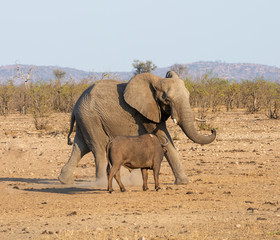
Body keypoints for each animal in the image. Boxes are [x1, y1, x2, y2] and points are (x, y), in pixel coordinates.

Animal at [58, 70, 217, 185]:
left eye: (188, 96)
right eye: (167, 100)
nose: (212, 129)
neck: (157, 81)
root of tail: (75, 107)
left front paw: (184, 182)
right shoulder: (145, 113)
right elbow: (163, 137)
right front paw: (183, 183)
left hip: (85, 119)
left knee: (81, 147)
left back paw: (64, 181)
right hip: (91, 118)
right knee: (99, 149)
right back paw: (101, 183)